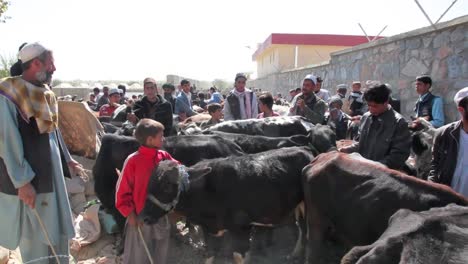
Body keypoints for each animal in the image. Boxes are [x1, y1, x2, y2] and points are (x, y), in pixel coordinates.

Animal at [140, 147, 314, 262]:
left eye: (167, 186)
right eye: (149, 183)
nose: (144, 217)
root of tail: (306, 151)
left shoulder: (242, 229)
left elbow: (238, 256)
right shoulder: (208, 229)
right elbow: (210, 254)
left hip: (306, 207)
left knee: (305, 231)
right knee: (300, 228)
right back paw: (294, 254)